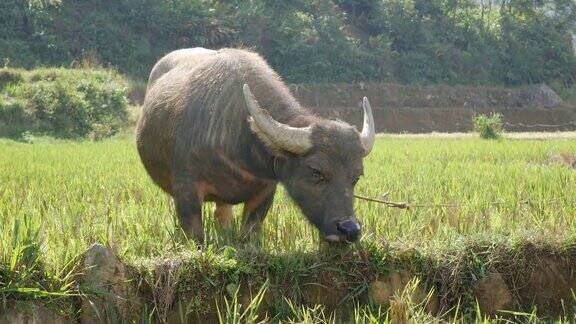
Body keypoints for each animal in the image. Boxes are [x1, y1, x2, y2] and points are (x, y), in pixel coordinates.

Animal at [137, 48, 376, 244]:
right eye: (316, 171)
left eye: (356, 177)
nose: (350, 229)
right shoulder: (186, 189)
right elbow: (194, 233)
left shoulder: (266, 190)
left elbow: (250, 232)